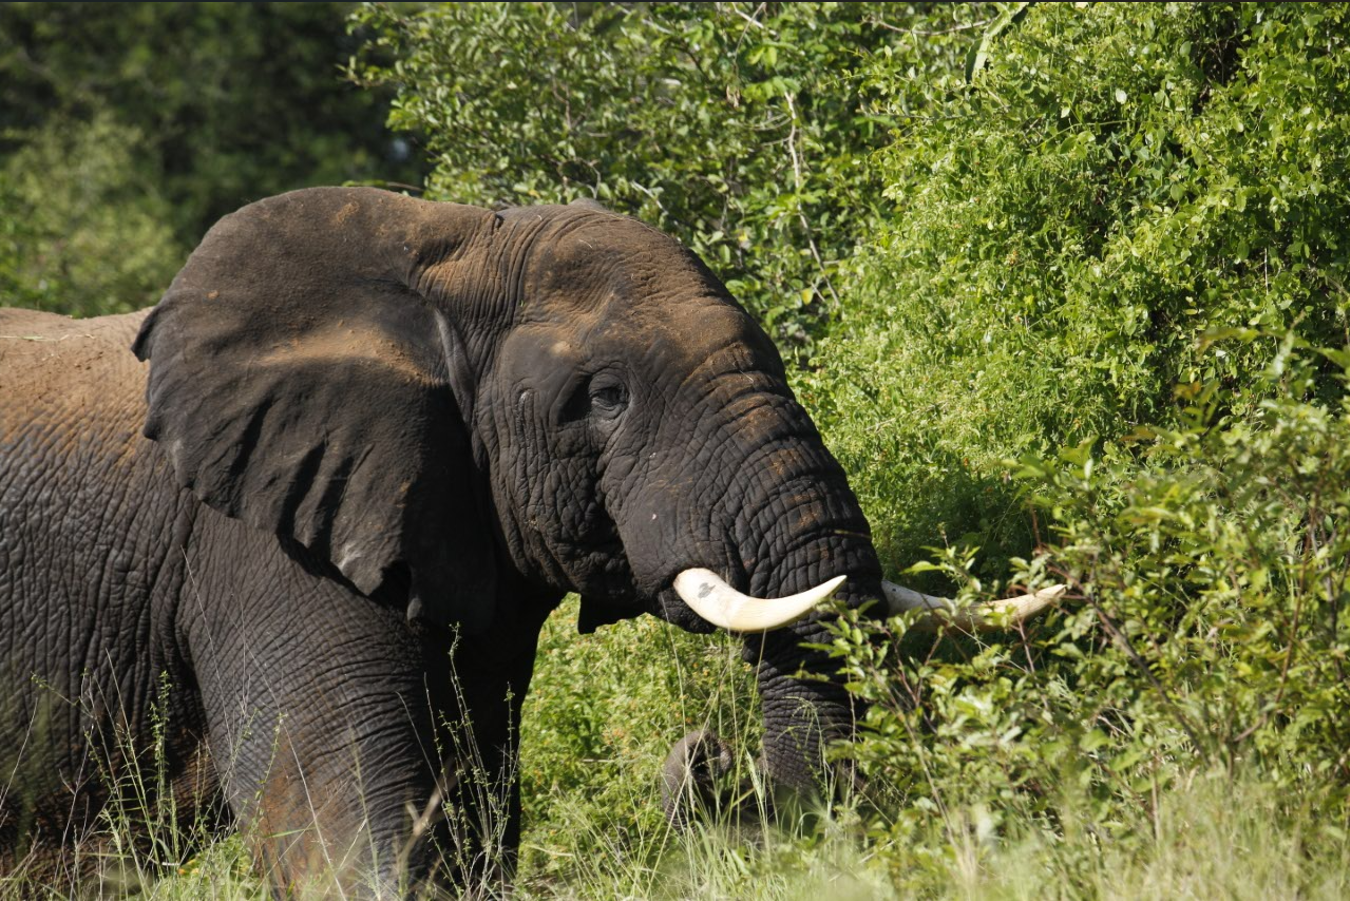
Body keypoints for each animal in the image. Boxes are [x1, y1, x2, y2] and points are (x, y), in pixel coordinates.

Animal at [0, 187, 1059, 896]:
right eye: (606, 396)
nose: (708, 756)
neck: (447, 253)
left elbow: (471, 815)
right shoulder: (259, 542)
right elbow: (345, 835)